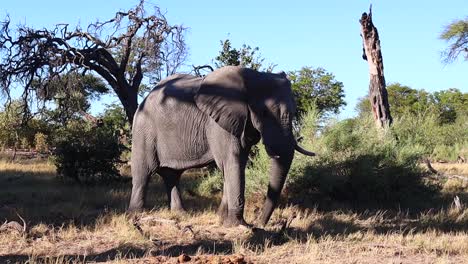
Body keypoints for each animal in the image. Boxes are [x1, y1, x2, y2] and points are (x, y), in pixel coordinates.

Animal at [128, 66, 314, 227]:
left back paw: (181, 214)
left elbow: (235, 165)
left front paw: (222, 220)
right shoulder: (217, 123)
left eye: (295, 111)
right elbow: (232, 163)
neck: (252, 76)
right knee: (143, 173)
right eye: (263, 113)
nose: (259, 224)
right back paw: (136, 215)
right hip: (144, 129)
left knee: (171, 175)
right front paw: (238, 225)